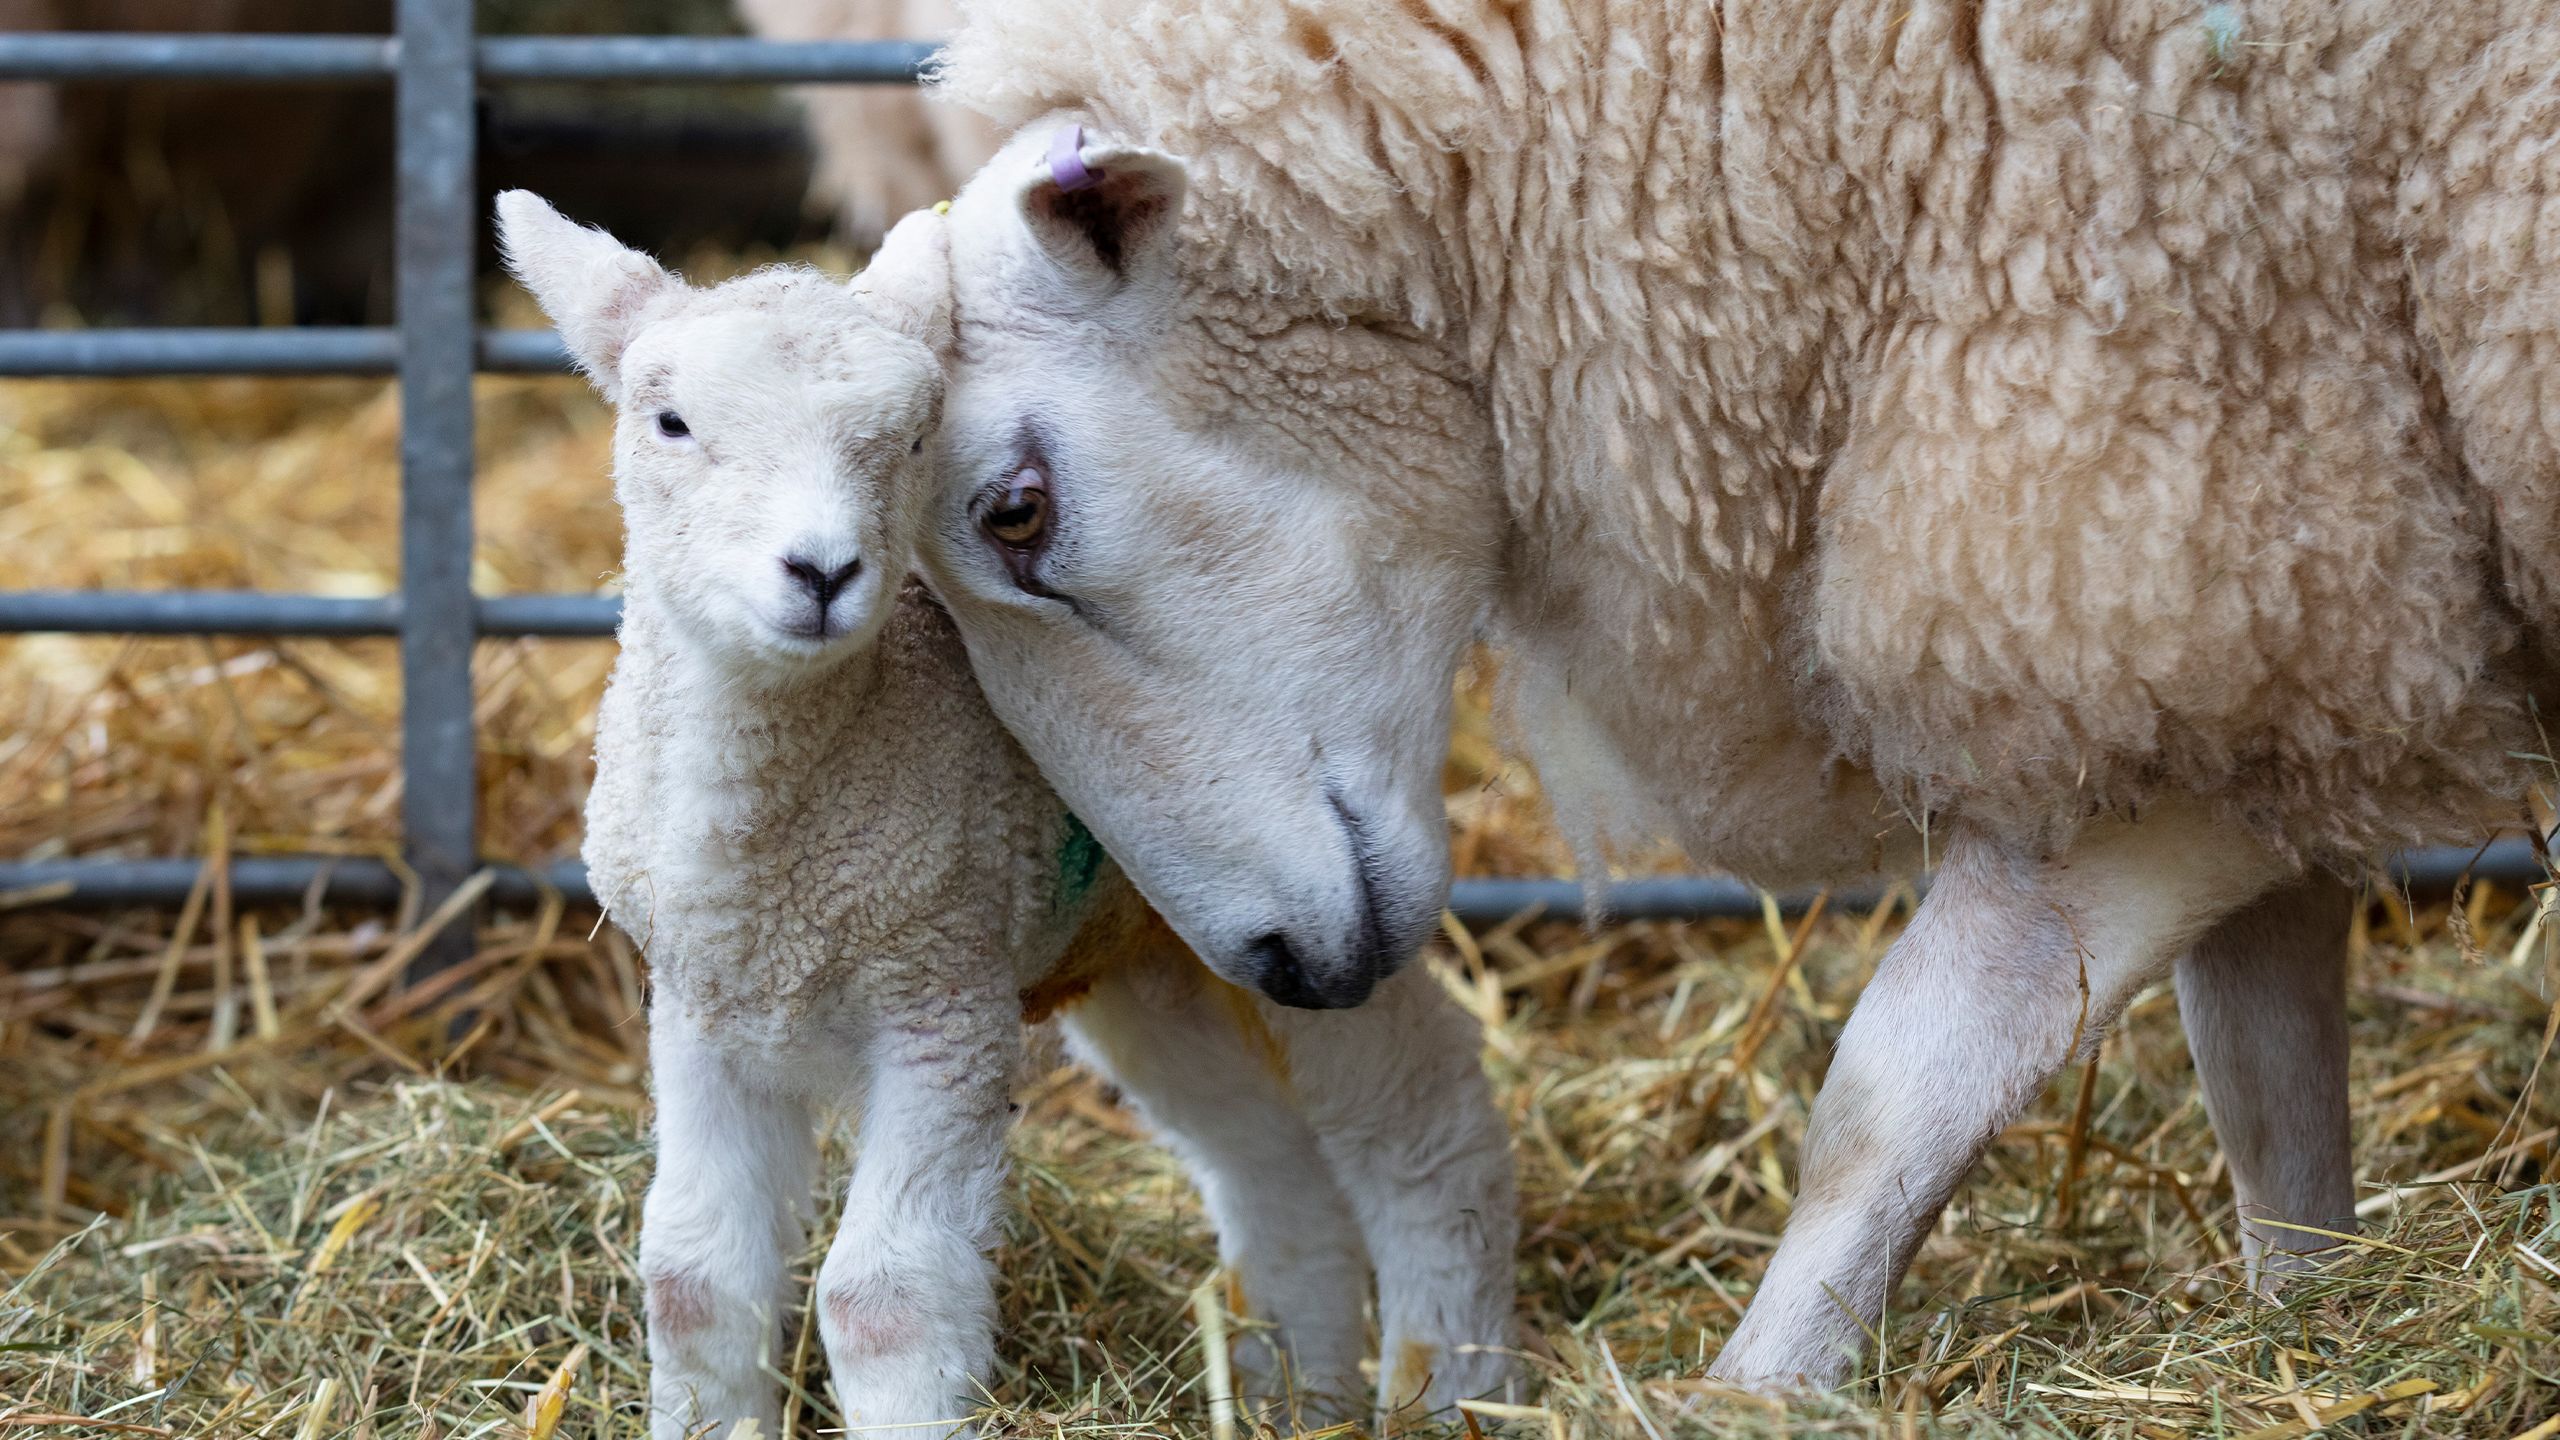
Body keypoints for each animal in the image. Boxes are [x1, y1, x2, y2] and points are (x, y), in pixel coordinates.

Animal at [493, 189, 1519, 1436]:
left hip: (1322, 920)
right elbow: (693, 1276)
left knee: (1425, 1126)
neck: (767, 844)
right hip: (1164, 956)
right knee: (1266, 1167)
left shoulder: (942, 1004)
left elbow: (884, 1295)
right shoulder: (703, 1010)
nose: (821, 572)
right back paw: (1292, 1393)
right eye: (671, 423)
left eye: (912, 442)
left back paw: (1452, 1387)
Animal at [835, 0, 2560, 1391]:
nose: (1285, 971)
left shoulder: (2147, 595)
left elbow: (1892, 1093)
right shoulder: (2281, 643)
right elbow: (2266, 1088)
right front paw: (2311, 1326)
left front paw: (1755, 1385)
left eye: (1013, 511)